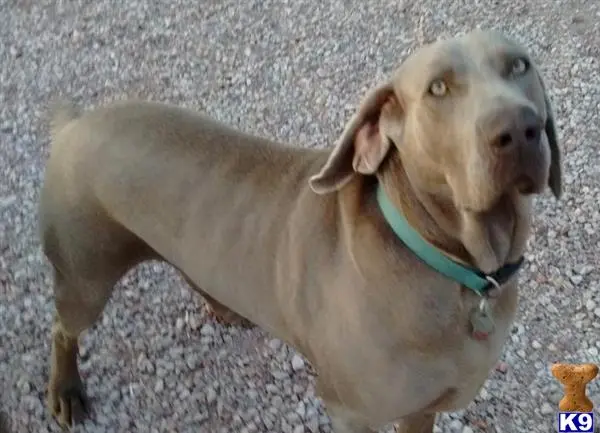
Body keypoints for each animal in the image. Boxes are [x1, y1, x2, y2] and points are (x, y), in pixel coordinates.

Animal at [38, 28, 564, 430]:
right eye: (438, 89)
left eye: (518, 66)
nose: (519, 129)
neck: (458, 269)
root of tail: (75, 122)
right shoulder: (352, 411)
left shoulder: (423, 407)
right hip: (85, 275)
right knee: (64, 328)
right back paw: (66, 391)